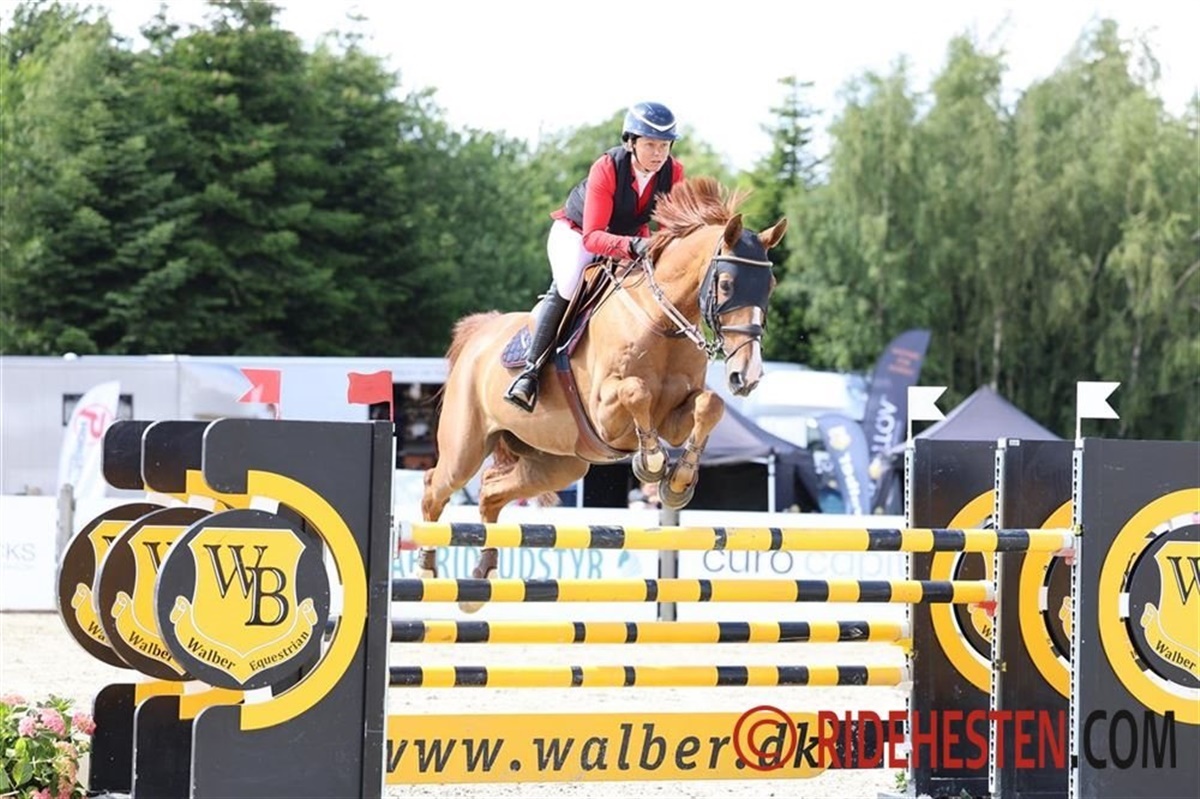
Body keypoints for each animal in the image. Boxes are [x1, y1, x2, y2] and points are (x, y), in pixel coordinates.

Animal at [419, 177, 786, 606]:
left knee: (492, 490)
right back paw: (427, 572)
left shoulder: (677, 413)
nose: (748, 374)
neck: (662, 322)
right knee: (434, 489)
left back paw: (482, 576)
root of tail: (479, 332)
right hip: (466, 448)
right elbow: (636, 392)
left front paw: (679, 480)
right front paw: (652, 463)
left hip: (558, 463)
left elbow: (708, 405)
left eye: (770, 285)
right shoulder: (605, 412)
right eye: (726, 284)